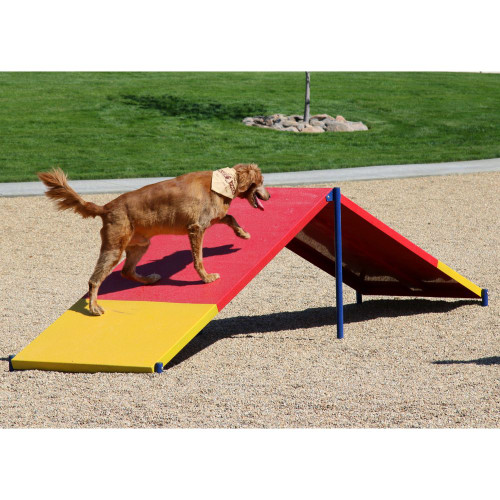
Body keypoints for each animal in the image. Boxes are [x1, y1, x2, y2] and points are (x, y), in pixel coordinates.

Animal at [37, 165, 270, 316]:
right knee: (95, 280)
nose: (268, 197)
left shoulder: (211, 219)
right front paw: (206, 277)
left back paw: (149, 279)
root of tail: (106, 208)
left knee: (126, 271)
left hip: (140, 245)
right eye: (261, 182)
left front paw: (242, 233)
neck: (222, 182)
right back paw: (94, 307)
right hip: (113, 249)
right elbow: (199, 259)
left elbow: (230, 217)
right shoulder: (196, 228)